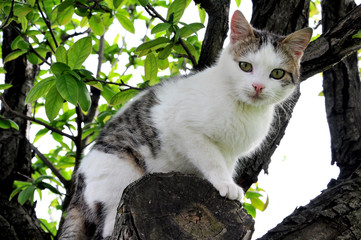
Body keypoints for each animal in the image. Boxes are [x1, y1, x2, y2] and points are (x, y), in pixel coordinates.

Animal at [58, 9, 310, 240]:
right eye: (245, 66)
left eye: (277, 73)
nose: (258, 86)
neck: (242, 109)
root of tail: (78, 187)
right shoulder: (184, 128)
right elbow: (211, 158)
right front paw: (226, 184)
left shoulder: (231, 154)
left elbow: (224, 164)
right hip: (120, 171)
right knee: (109, 220)